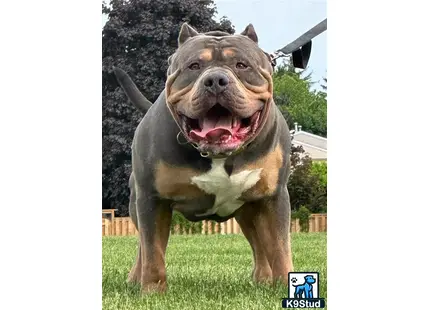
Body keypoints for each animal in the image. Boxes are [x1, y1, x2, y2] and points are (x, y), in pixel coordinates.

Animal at [113, 23, 296, 292]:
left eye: (242, 65)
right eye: (194, 66)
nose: (216, 80)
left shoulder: (274, 197)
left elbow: (280, 248)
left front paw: (284, 285)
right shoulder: (152, 199)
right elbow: (153, 251)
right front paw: (153, 291)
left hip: (249, 209)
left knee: (260, 244)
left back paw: (263, 278)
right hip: (136, 203)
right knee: (142, 248)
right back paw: (136, 278)